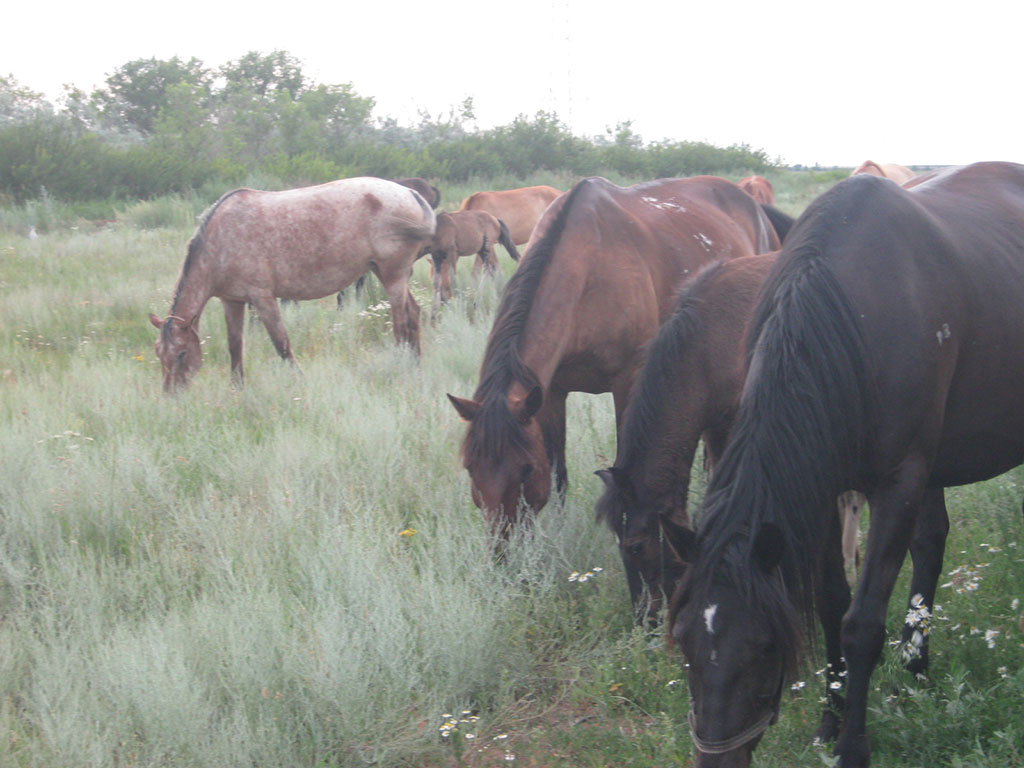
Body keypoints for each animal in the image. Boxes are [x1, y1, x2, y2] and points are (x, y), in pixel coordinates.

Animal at [149, 177, 435, 393]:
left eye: (182, 353)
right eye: (158, 353)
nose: (171, 394)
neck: (220, 240)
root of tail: (411, 193)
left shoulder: (262, 298)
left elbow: (282, 344)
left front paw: (301, 383)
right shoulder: (232, 301)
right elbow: (235, 345)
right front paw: (237, 389)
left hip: (392, 275)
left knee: (400, 323)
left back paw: (401, 368)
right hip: (388, 273)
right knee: (413, 315)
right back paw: (416, 366)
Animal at [447, 176, 779, 538]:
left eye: (525, 469)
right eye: (470, 468)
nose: (504, 546)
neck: (588, 270)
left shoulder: (627, 385)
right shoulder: (550, 393)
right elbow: (558, 472)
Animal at [660, 161, 1024, 767]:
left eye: (764, 646)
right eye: (686, 641)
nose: (715, 757)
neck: (852, 308)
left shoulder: (898, 483)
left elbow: (861, 623)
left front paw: (853, 744)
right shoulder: (825, 483)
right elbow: (833, 601)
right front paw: (829, 720)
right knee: (932, 545)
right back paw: (915, 672)